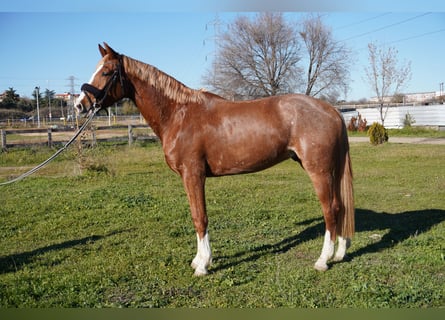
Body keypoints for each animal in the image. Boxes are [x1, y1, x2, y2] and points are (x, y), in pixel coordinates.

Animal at [76, 43, 354, 276]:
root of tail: (332, 110)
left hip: (319, 171)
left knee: (331, 209)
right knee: (341, 207)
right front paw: (200, 260)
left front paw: (203, 265)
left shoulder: (193, 175)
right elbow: (197, 216)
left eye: (106, 72)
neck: (178, 114)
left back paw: (323, 260)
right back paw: (340, 253)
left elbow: (200, 217)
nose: (80, 104)